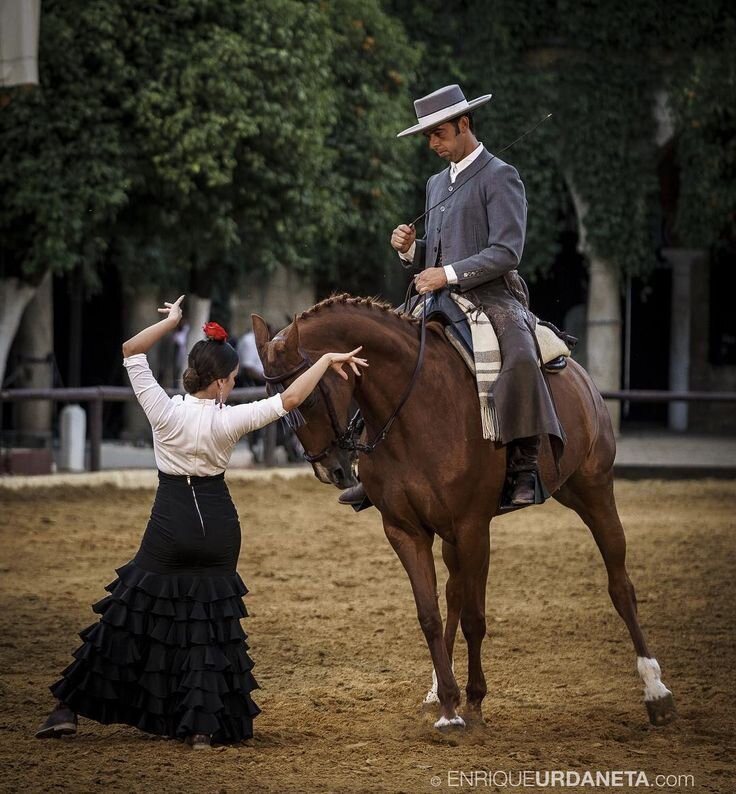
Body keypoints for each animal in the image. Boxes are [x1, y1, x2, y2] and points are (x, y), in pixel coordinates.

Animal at [250, 296, 676, 732]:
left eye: (309, 396)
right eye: (271, 395)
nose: (330, 469)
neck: (416, 410)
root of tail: (579, 373)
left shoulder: (473, 527)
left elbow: (475, 617)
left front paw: (472, 704)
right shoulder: (405, 531)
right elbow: (430, 614)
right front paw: (449, 707)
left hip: (593, 491)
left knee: (620, 584)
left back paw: (656, 690)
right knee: (453, 594)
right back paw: (437, 689)